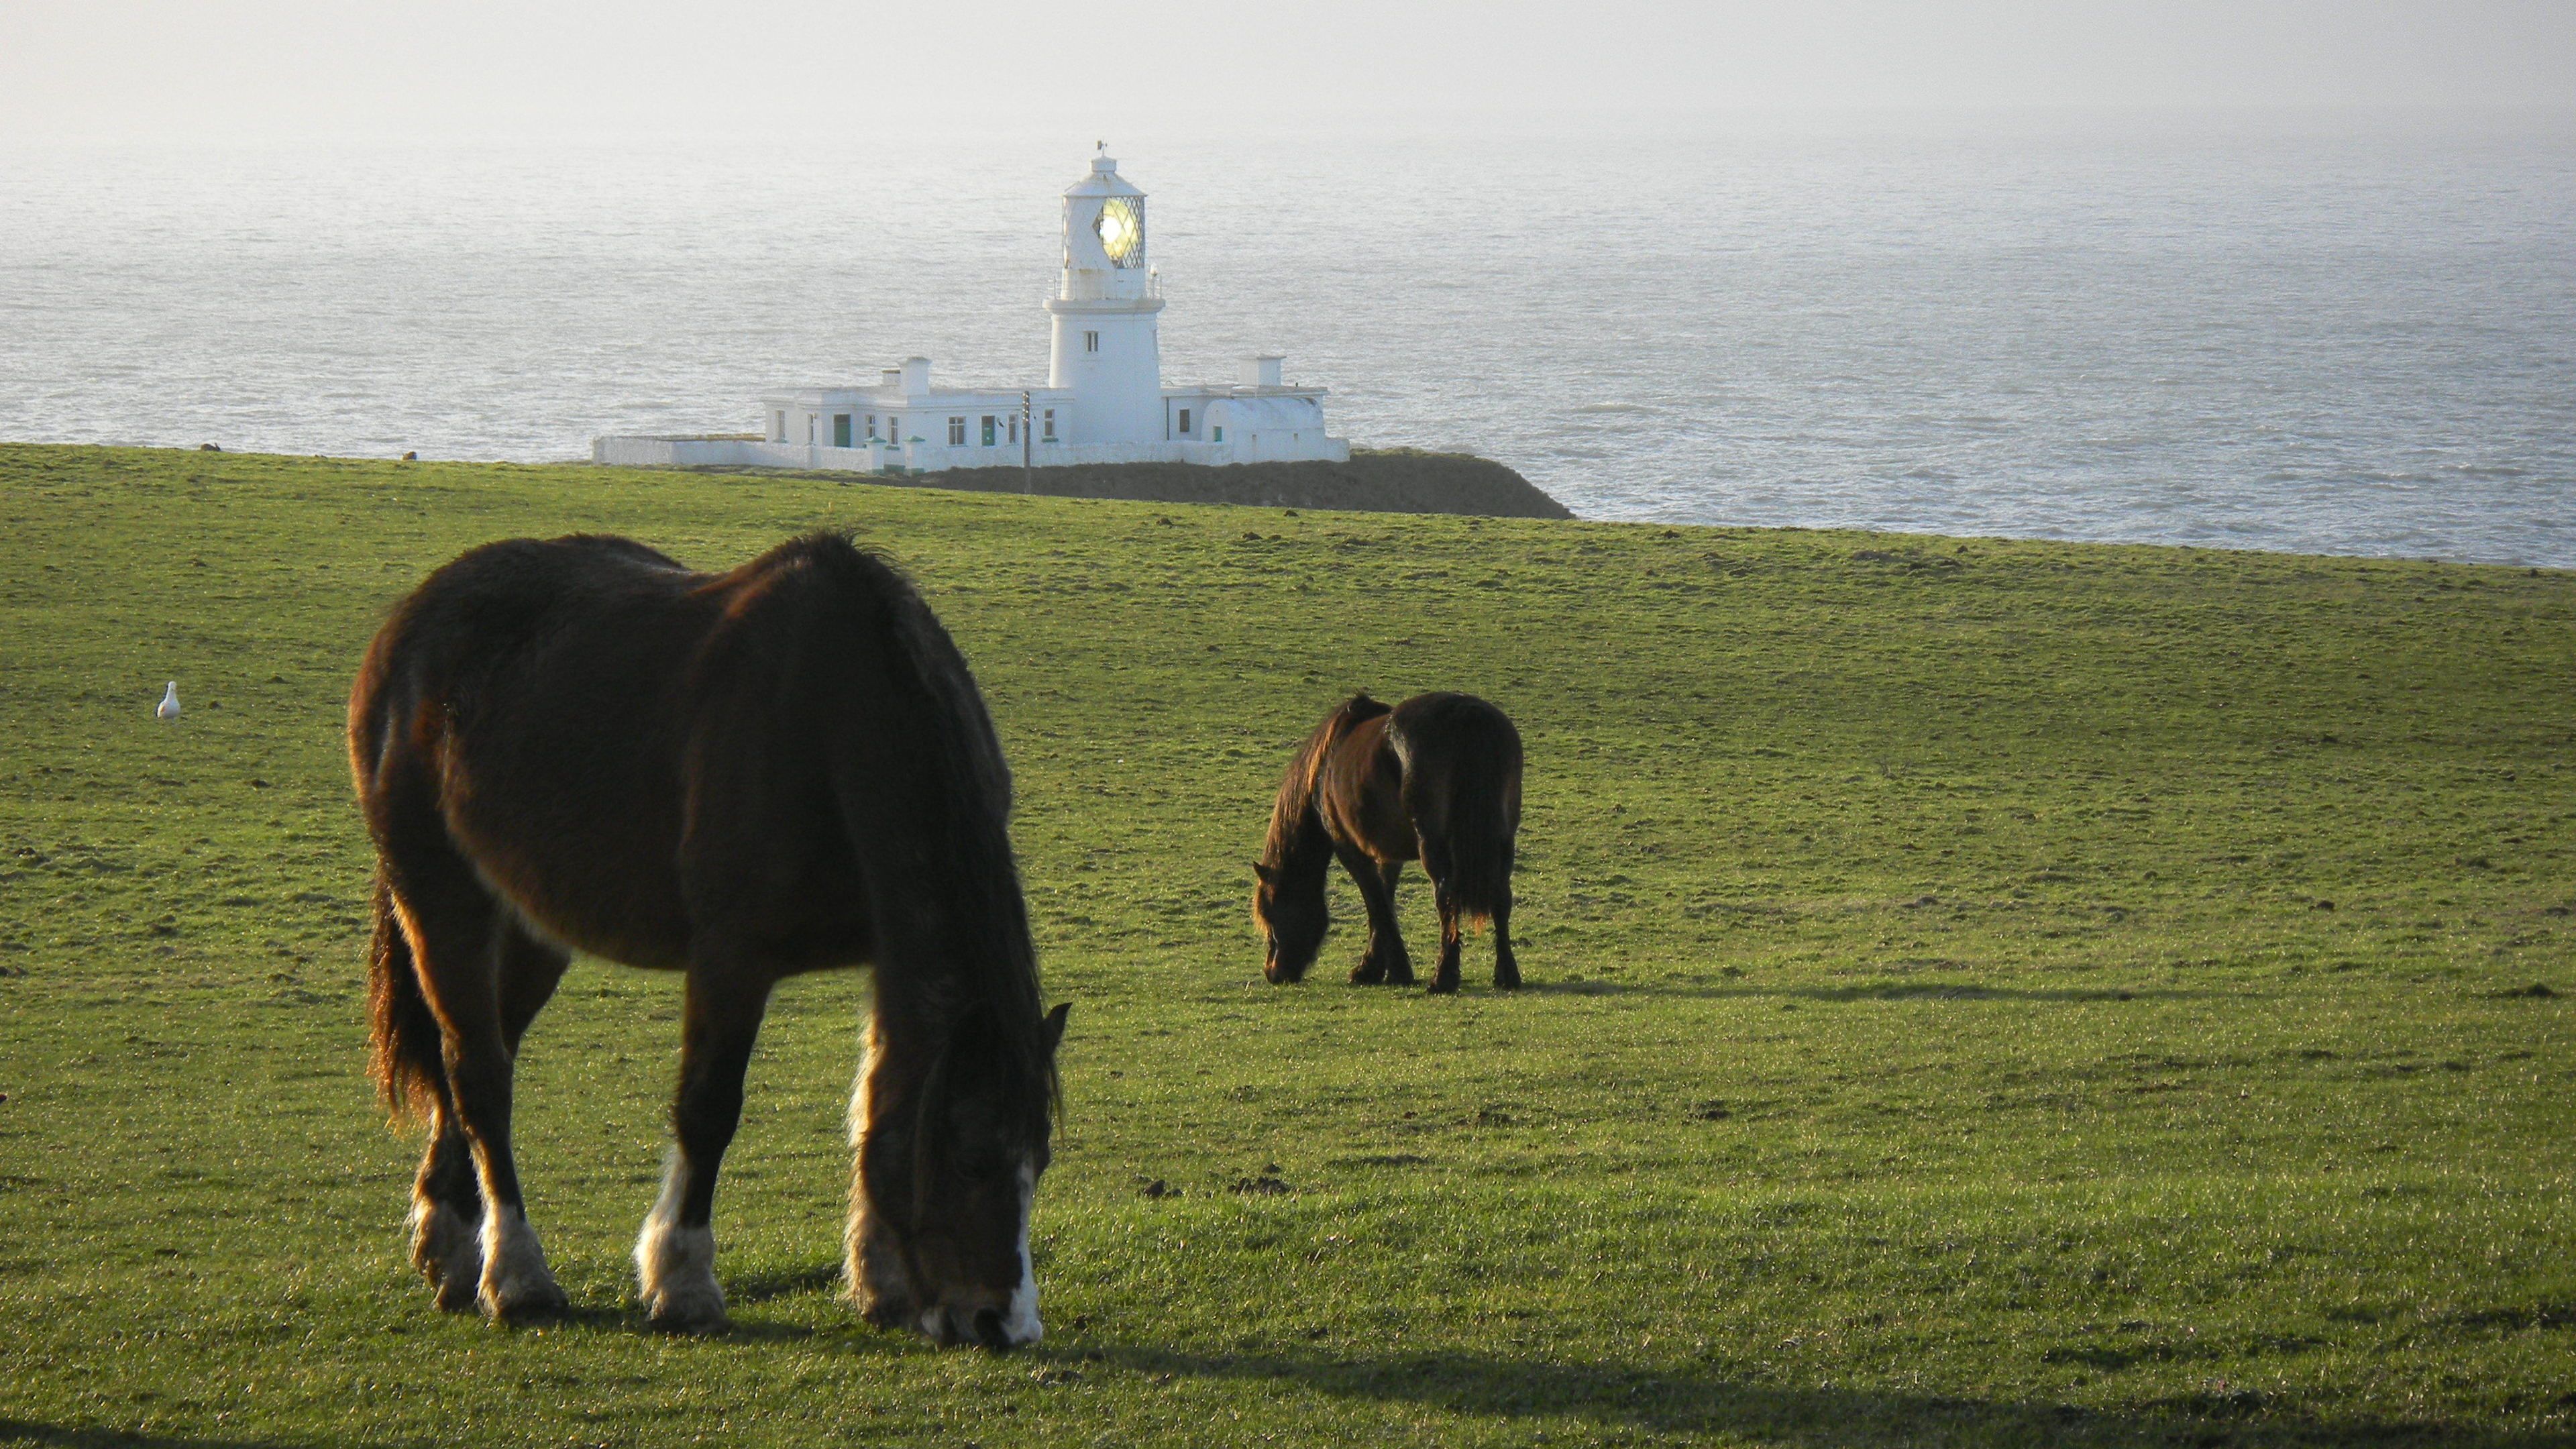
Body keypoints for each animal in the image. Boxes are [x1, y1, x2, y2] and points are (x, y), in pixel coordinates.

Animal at [349, 532, 1067, 1346]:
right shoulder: (733, 959)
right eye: (974, 1159)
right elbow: (708, 1109)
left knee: (470, 1062)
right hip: (443, 901)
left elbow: (880, 1101)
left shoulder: (887, 956)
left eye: (1039, 1162)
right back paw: (517, 1275)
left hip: (532, 930)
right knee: (479, 1077)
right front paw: (683, 1283)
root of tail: (410, 624)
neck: (836, 720)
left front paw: (879, 1284)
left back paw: (448, 1250)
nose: (1003, 1323)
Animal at [1254, 691, 1523, 994]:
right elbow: (1386, 900)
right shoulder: (1388, 855)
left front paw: (1391, 970)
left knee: (1446, 896)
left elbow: (1377, 904)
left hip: (1433, 845)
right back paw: (1506, 974)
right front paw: (1376, 967)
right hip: (1504, 840)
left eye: (1271, 911)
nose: (1273, 973)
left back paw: (1443, 978)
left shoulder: (1350, 849)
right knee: (1501, 896)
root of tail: (1468, 714)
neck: (1323, 768)